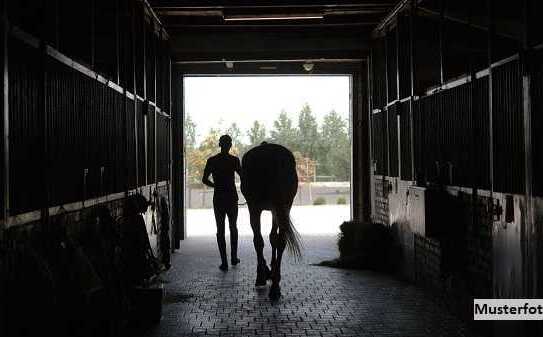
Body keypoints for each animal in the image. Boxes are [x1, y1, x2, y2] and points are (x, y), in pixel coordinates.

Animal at [241, 142, 304, 300]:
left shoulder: (255, 207)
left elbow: (260, 240)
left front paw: (263, 274)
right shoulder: (276, 209)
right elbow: (272, 238)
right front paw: (272, 272)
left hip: (261, 207)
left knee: (260, 240)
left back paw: (271, 283)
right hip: (284, 206)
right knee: (281, 240)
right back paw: (275, 287)